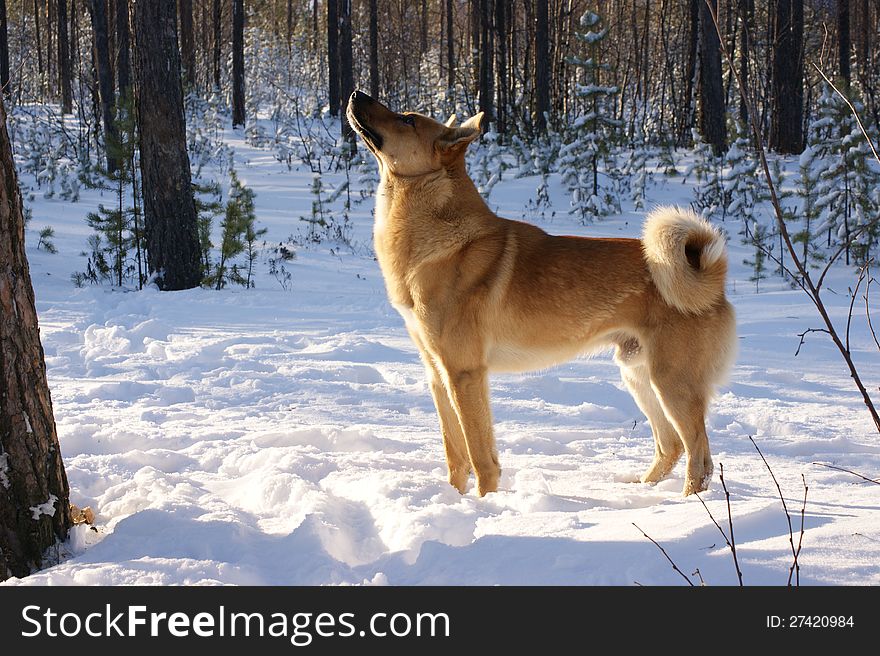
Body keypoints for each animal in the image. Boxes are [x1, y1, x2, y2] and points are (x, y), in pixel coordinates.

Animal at [346, 91, 736, 498]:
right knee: (671, 446)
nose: (356, 94)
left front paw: (486, 505)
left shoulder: (464, 374)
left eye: (407, 119)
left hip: (672, 383)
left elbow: (480, 457)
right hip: (639, 375)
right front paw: (456, 500)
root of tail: (712, 280)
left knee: (700, 459)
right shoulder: (438, 375)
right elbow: (456, 457)